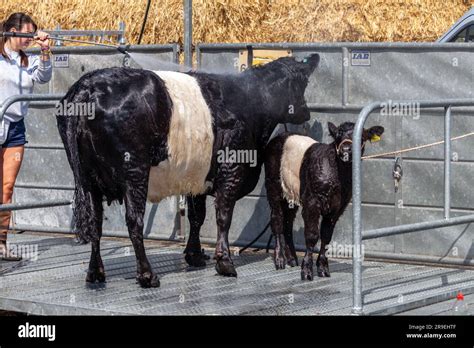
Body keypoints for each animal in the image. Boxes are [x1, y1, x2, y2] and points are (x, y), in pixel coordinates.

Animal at [57, 54, 320, 288]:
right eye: (303, 84)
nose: (307, 112)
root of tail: (86, 87)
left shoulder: (197, 177)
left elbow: (197, 216)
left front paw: (194, 255)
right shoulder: (231, 170)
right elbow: (223, 215)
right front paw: (224, 262)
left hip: (87, 179)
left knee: (94, 223)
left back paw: (95, 273)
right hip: (135, 172)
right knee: (133, 221)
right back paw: (147, 275)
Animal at [264, 122, 384, 280]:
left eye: (361, 136)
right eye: (337, 135)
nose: (346, 149)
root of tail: (280, 136)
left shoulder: (338, 206)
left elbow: (326, 236)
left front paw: (323, 268)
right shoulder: (311, 201)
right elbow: (312, 235)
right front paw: (307, 271)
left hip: (291, 193)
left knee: (288, 223)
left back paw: (292, 259)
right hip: (273, 185)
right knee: (277, 220)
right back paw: (280, 260)